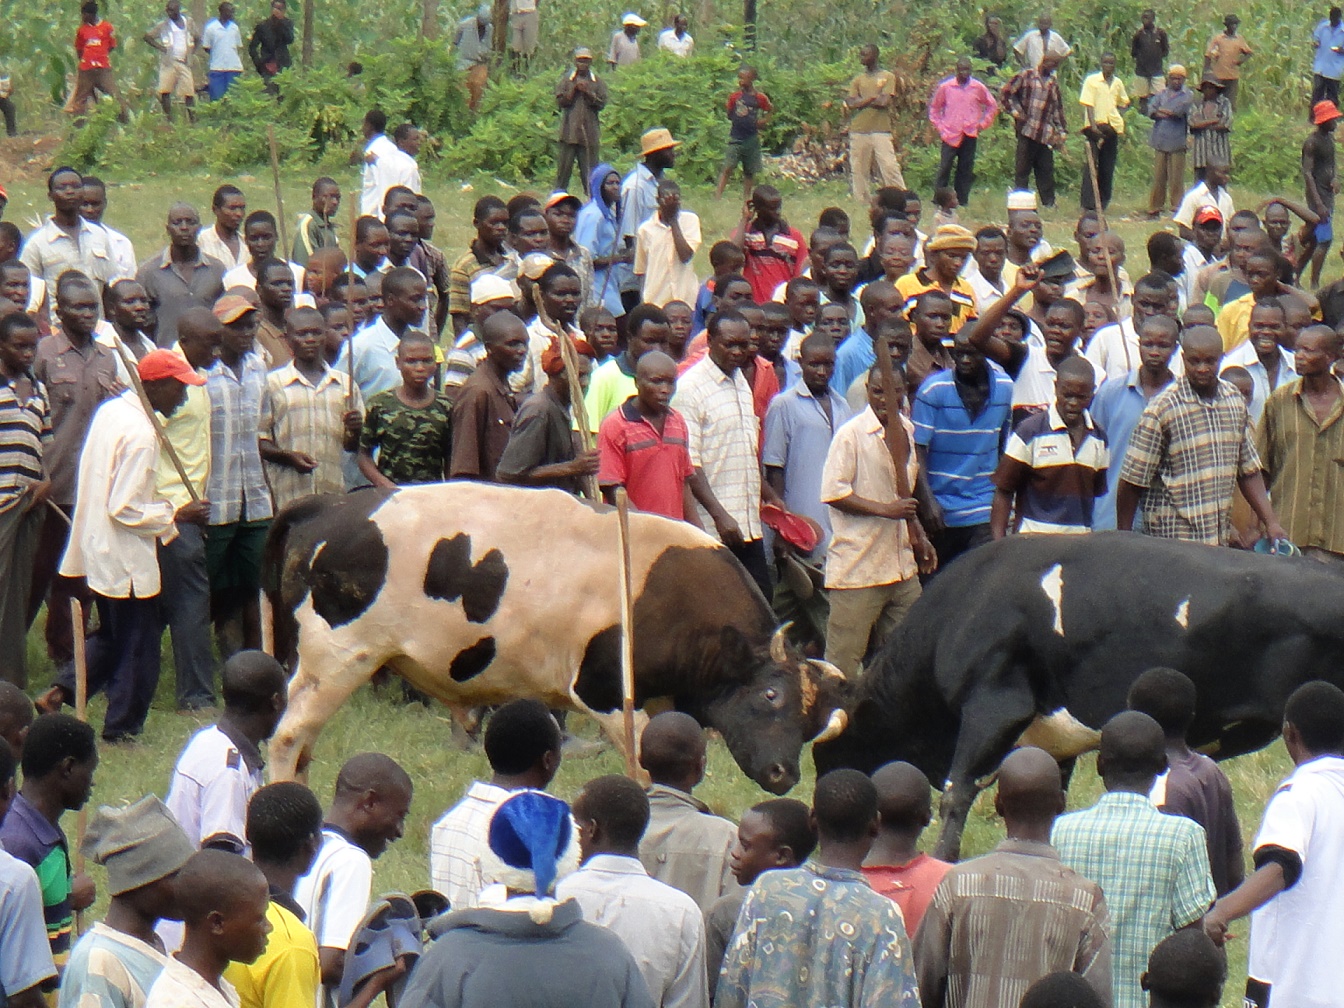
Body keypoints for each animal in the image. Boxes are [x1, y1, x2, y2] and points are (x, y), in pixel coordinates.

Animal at [262, 483, 850, 791]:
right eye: (771, 694)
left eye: (811, 724)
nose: (784, 774)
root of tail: (329, 505)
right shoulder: (607, 695)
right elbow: (640, 769)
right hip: (335, 659)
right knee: (288, 737)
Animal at [813, 532, 1344, 861]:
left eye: (830, 758)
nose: (821, 833)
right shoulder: (1053, 741)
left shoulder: (995, 704)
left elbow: (956, 792)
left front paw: (944, 860)